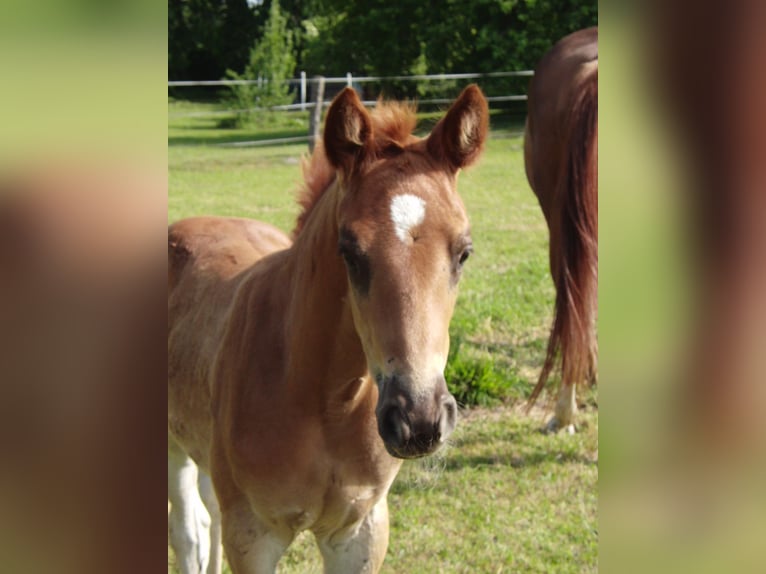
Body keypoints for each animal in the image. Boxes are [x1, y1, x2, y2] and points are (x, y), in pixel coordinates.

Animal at [168, 85, 489, 573]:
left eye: (464, 252)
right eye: (350, 251)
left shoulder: (360, 532)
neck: (324, 405)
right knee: (189, 533)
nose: (418, 419)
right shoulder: (254, 536)